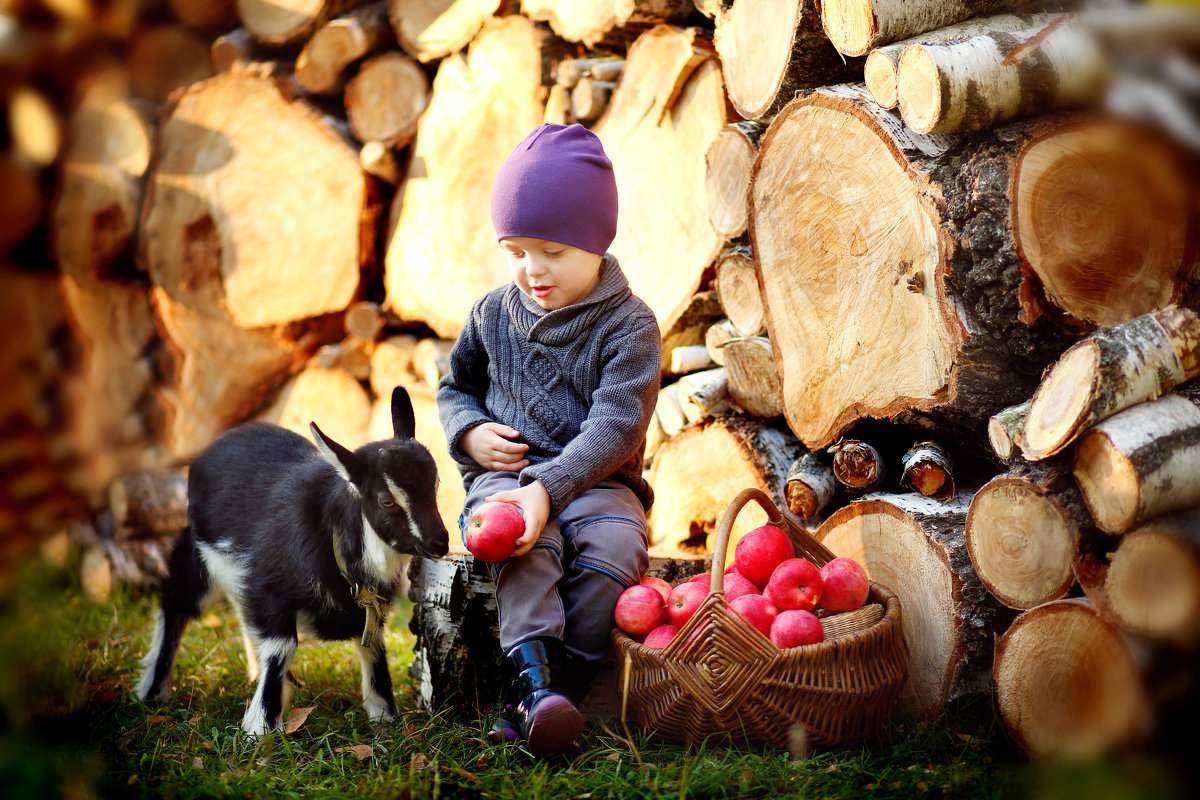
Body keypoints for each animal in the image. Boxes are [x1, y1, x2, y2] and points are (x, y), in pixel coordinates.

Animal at [132, 383, 451, 734]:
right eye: (387, 501)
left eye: (435, 484)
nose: (441, 542)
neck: (334, 539)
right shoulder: (270, 586)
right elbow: (282, 646)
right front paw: (262, 726)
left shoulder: (369, 608)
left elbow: (372, 644)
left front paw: (385, 717)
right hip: (199, 552)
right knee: (177, 600)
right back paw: (152, 692)